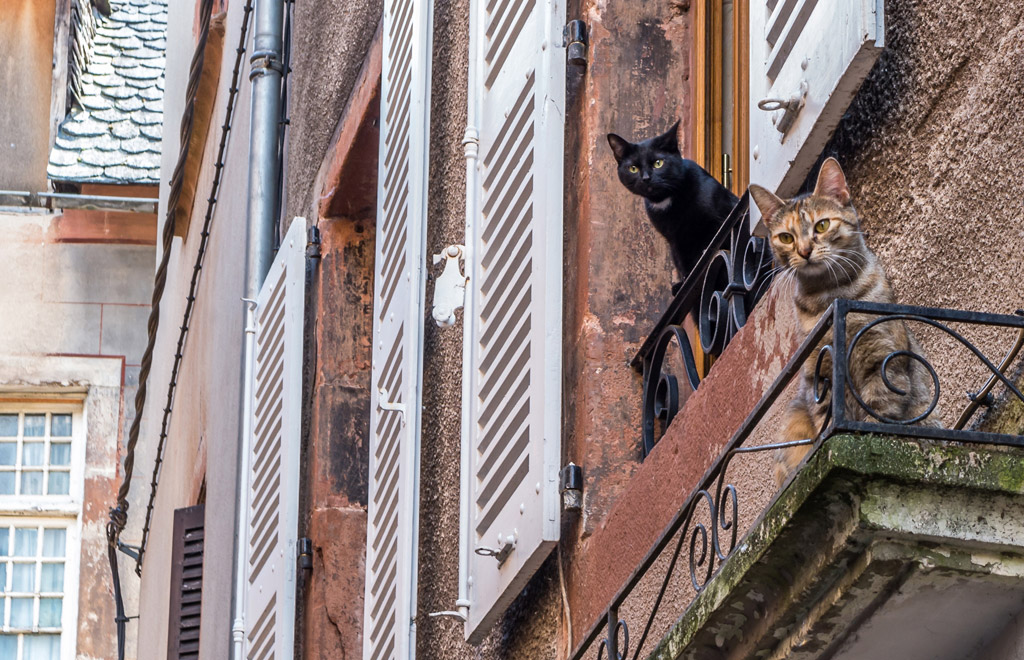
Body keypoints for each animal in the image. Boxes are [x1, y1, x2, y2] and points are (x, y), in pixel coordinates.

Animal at [602, 122, 741, 286]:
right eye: (633, 168)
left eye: (658, 163)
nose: (646, 178)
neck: (666, 200)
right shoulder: (675, 240)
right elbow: (682, 262)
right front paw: (685, 281)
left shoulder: (718, 223)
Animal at [749, 156, 937, 480]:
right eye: (786, 237)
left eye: (822, 225)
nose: (804, 250)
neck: (831, 296)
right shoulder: (820, 373)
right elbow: (826, 420)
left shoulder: (882, 360)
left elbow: (879, 413)